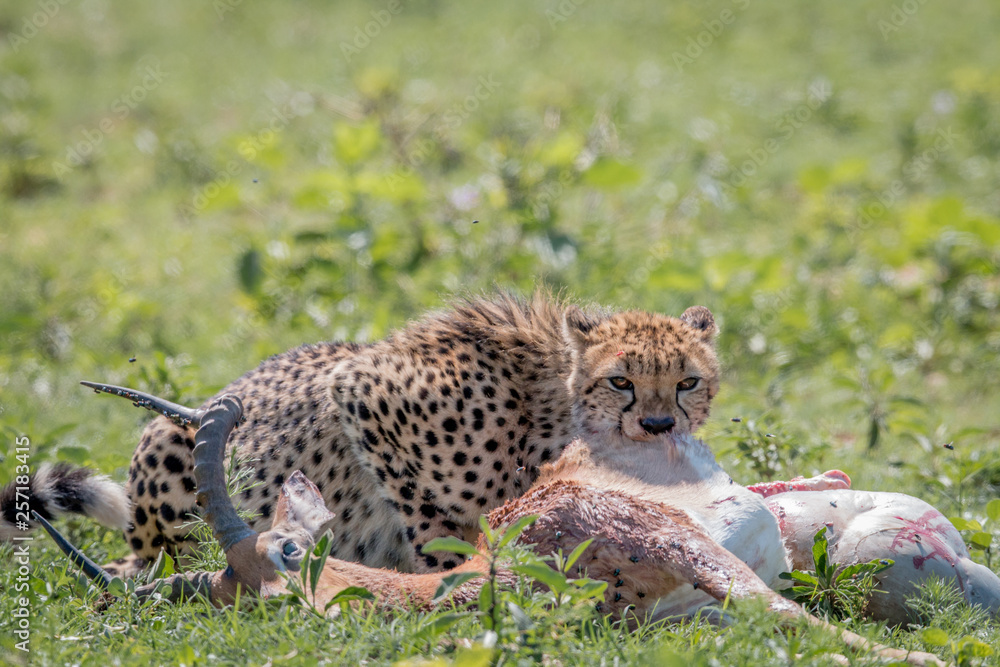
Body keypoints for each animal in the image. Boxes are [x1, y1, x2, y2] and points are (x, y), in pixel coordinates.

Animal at [6, 293, 720, 578]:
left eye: (687, 381)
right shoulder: (364, 391)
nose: (660, 425)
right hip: (167, 442)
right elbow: (438, 525)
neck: (549, 410)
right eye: (621, 381)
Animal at [40, 394, 997, 665]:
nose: (299, 609)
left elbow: (799, 619)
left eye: (284, 549)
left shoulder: (689, 547)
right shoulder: (693, 612)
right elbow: (785, 624)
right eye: (233, 601)